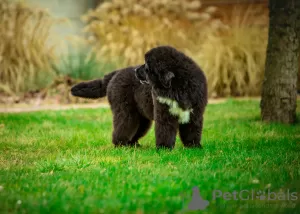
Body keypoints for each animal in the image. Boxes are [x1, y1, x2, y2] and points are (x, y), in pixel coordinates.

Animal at [71, 45, 207, 149]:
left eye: (147, 67)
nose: (136, 70)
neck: (177, 88)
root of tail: (116, 72)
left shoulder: (195, 114)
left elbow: (192, 131)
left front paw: (194, 147)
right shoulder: (164, 114)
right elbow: (165, 131)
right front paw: (164, 149)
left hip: (142, 118)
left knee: (135, 131)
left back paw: (134, 145)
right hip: (126, 112)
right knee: (123, 127)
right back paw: (121, 145)